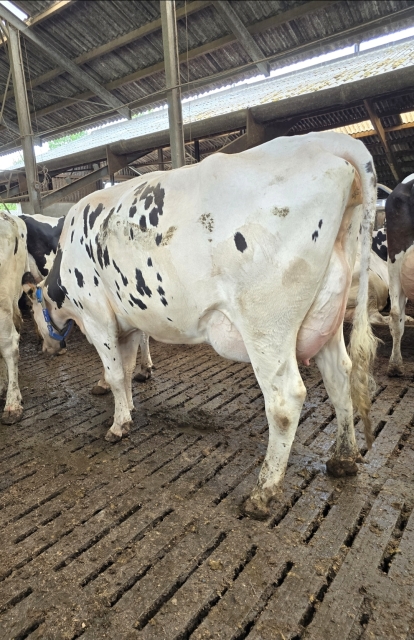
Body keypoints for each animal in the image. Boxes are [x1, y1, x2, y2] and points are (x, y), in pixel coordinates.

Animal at [26, 132, 377, 519]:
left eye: (33, 313)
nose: (47, 348)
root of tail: (321, 141)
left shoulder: (96, 316)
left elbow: (116, 373)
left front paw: (117, 426)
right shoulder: (129, 322)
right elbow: (129, 368)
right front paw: (128, 411)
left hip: (266, 323)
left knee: (285, 400)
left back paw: (263, 492)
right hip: (327, 309)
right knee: (339, 375)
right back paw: (344, 458)